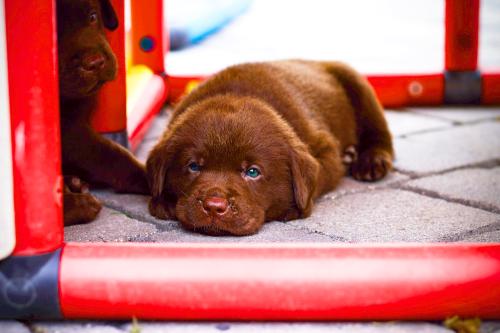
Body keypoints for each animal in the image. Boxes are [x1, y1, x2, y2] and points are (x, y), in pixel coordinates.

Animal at [146, 60, 392, 236]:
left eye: (253, 172)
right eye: (194, 166)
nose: (214, 206)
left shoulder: (326, 150)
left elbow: (319, 178)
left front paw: (292, 208)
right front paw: (164, 201)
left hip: (358, 85)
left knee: (379, 132)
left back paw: (371, 161)